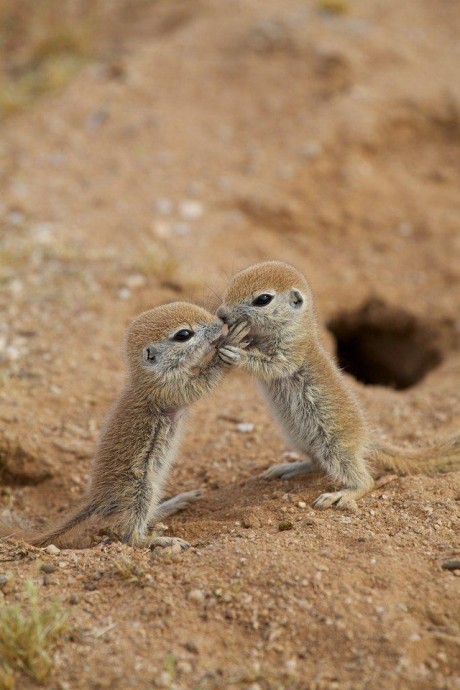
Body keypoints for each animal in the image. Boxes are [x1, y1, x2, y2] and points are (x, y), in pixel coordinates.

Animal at [3, 302, 248, 548]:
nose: (220, 323)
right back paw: (160, 540)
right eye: (183, 335)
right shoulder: (169, 389)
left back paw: (175, 502)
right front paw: (232, 342)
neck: (149, 375)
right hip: (141, 490)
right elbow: (202, 383)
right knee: (130, 537)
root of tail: (97, 501)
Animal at [218, 258, 460, 506]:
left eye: (263, 299)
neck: (295, 329)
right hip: (300, 441)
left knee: (365, 480)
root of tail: (365, 440)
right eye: (233, 280)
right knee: (316, 464)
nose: (221, 314)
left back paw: (340, 495)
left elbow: (273, 366)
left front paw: (236, 353)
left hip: (335, 448)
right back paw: (287, 468)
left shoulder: (291, 353)